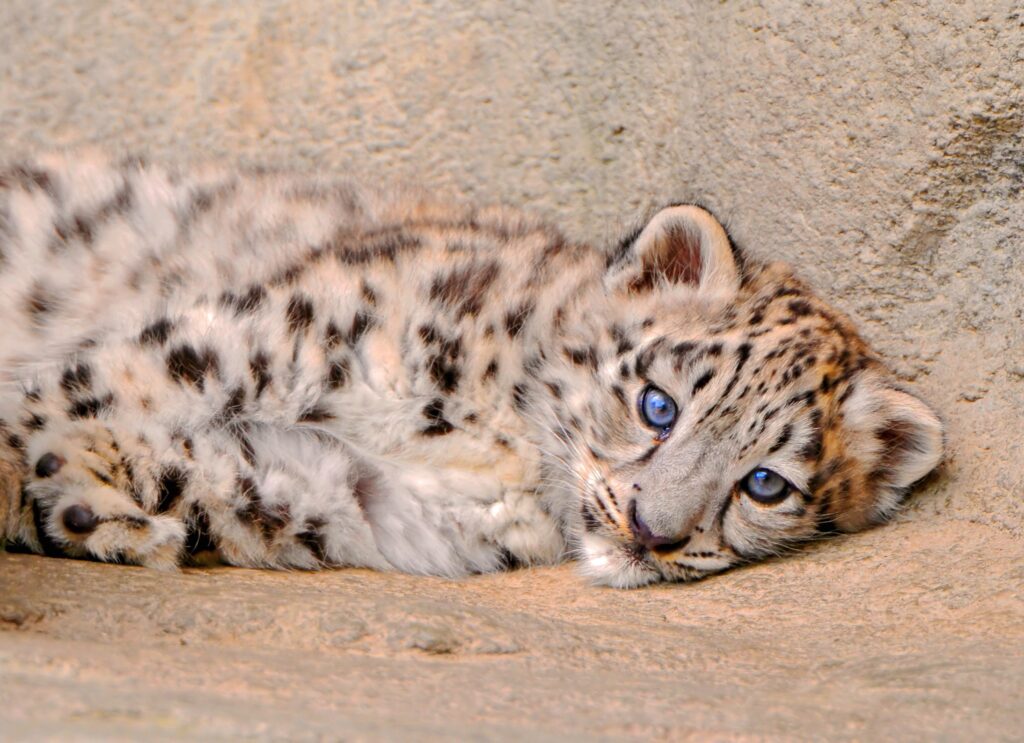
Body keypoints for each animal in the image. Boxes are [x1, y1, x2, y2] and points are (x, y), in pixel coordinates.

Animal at [0, 151, 943, 588]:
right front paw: (58, 488)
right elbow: (104, 385)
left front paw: (97, 515)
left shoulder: (338, 490)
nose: (653, 532)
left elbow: (193, 471)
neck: (495, 441)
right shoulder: (277, 332)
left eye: (765, 484)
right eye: (658, 404)